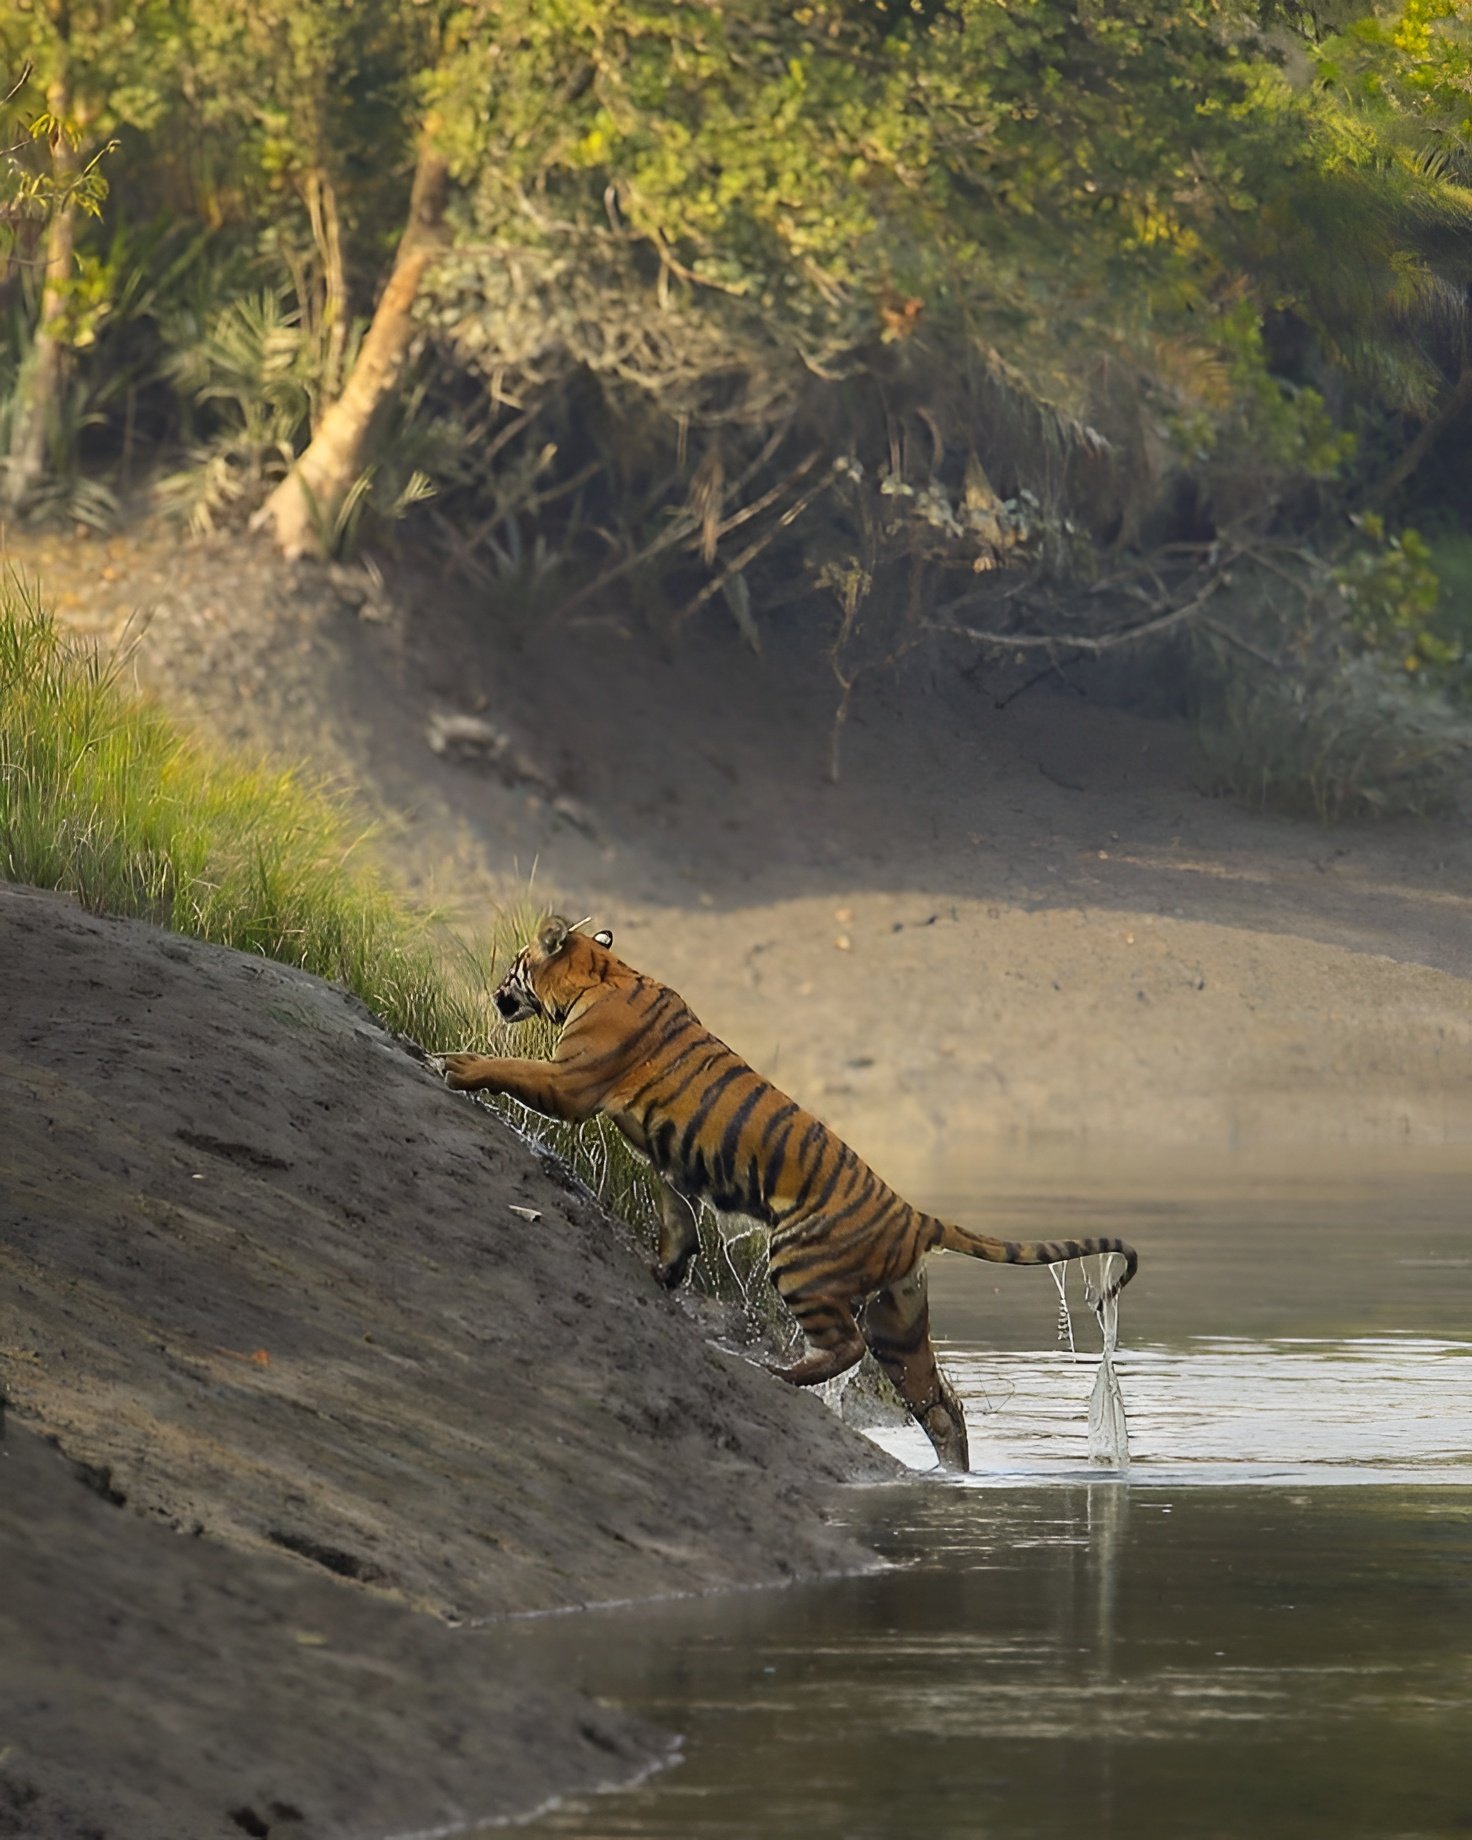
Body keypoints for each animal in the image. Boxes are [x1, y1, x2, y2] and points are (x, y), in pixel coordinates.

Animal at [440, 914, 1138, 1471]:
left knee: (844, 1347)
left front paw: (457, 1066)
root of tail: (917, 1216)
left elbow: (511, 1069)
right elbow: (676, 1219)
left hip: (801, 1263)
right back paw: (951, 1473)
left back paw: (776, 1373)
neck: (601, 974)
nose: (496, 993)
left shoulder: (571, 1084)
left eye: (514, 965)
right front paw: (665, 1272)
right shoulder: (668, 1165)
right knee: (941, 1404)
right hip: (899, 1324)